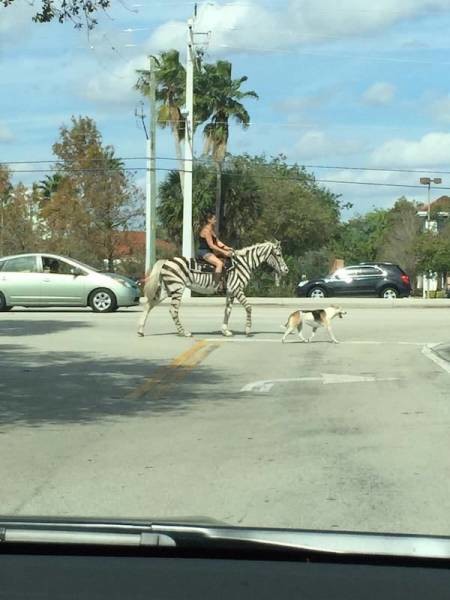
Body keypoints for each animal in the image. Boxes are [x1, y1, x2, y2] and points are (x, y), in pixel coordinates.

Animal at [137, 241, 290, 340]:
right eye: (279, 255)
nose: (286, 270)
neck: (242, 264)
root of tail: (166, 261)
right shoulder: (237, 289)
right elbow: (249, 307)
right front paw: (247, 330)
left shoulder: (231, 292)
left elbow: (228, 311)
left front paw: (225, 331)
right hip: (177, 288)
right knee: (173, 310)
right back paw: (184, 333)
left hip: (166, 289)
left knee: (149, 305)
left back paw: (141, 331)